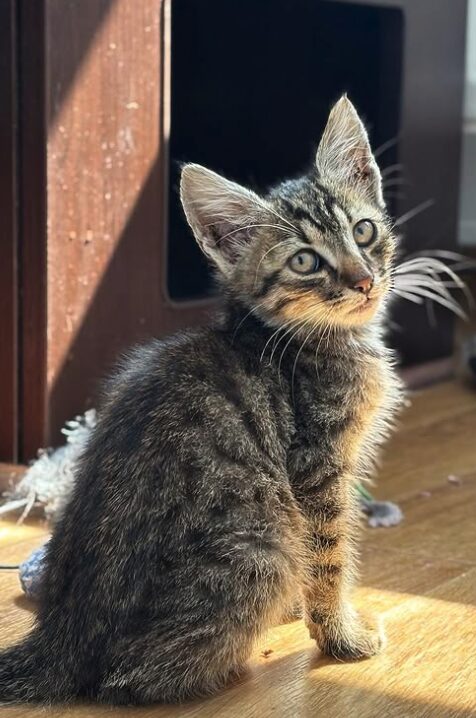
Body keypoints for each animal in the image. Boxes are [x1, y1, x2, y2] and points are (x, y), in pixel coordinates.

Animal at [0, 97, 402, 708]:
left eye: (364, 230)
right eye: (304, 262)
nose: (363, 281)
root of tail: (61, 638)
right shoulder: (317, 470)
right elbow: (328, 558)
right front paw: (341, 637)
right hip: (264, 547)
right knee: (130, 679)